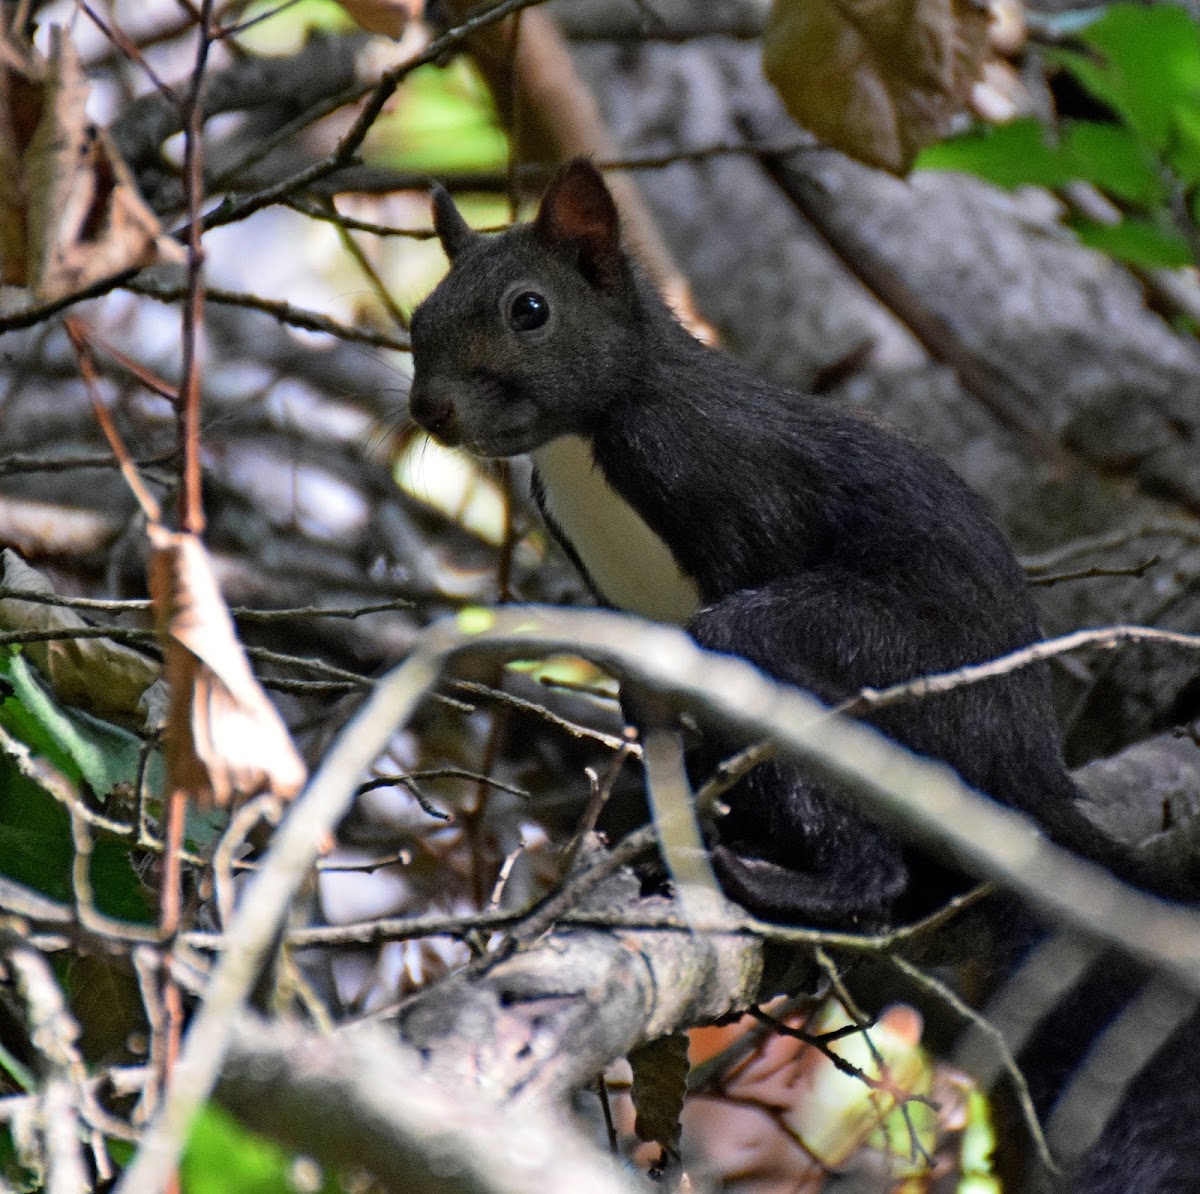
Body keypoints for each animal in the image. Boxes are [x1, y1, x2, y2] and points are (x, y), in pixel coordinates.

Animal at [410, 158, 1142, 931]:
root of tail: (1032, 773)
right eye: (419, 318)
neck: (586, 440)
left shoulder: (721, 483)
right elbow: (653, 711)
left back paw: (799, 882)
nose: (429, 409)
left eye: (529, 310)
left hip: (888, 652)